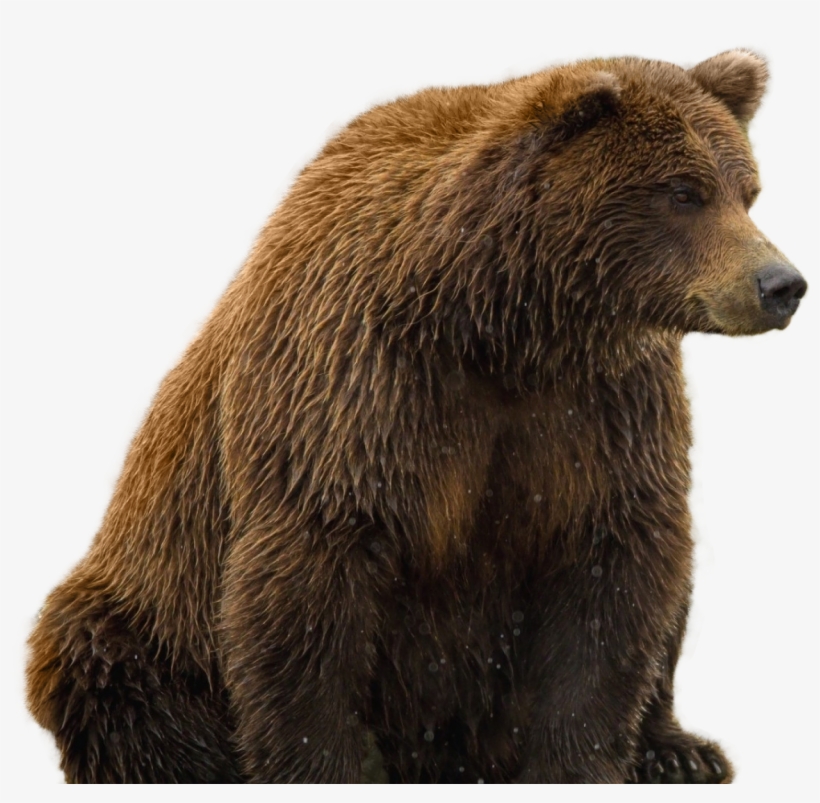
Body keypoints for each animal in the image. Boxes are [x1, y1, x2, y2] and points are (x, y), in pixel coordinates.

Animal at [26, 50, 807, 784]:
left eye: (747, 191)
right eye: (683, 191)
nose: (781, 284)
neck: (503, 326)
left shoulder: (601, 409)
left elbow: (613, 576)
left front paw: (577, 762)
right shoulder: (355, 394)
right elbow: (307, 598)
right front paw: (324, 766)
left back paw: (679, 749)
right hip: (144, 613)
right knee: (113, 672)